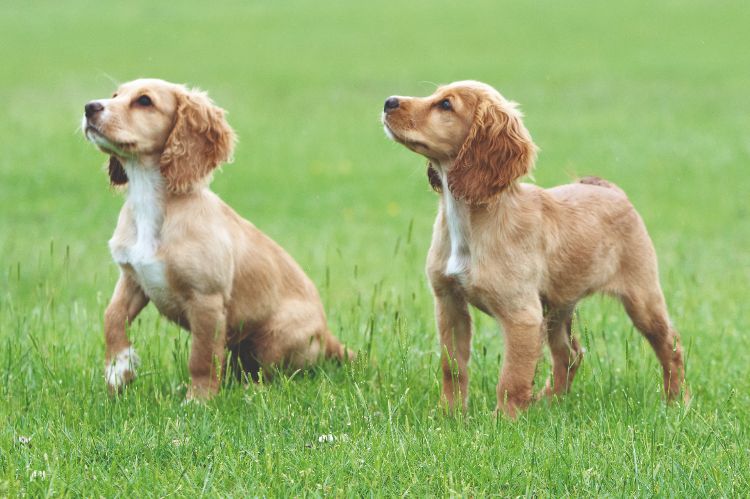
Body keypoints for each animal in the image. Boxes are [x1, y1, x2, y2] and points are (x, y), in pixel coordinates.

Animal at [82, 78, 352, 400]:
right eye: (115, 95)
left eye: (144, 101)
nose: (89, 107)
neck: (150, 199)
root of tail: (327, 334)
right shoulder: (133, 278)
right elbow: (111, 316)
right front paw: (118, 370)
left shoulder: (206, 300)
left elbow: (201, 355)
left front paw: (198, 399)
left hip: (275, 334)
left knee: (277, 376)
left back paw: (250, 391)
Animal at [384, 81, 692, 418]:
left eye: (446, 105)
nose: (389, 102)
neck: (469, 220)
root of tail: (610, 189)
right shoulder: (449, 302)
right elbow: (452, 367)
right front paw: (450, 415)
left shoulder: (522, 315)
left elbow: (512, 378)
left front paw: (504, 421)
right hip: (557, 306)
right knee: (570, 354)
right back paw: (549, 401)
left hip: (642, 298)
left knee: (672, 347)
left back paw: (677, 401)